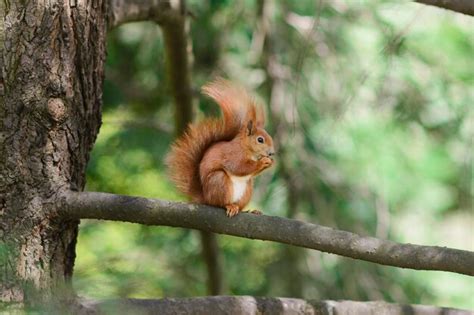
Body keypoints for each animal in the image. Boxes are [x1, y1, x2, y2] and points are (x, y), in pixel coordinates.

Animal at [167, 78, 276, 217]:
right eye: (260, 140)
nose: (271, 153)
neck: (247, 148)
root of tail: (206, 198)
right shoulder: (233, 154)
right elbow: (239, 167)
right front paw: (263, 162)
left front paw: (270, 162)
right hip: (219, 181)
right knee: (219, 203)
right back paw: (229, 206)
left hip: (247, 188)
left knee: (240, 204)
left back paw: (250, 211)